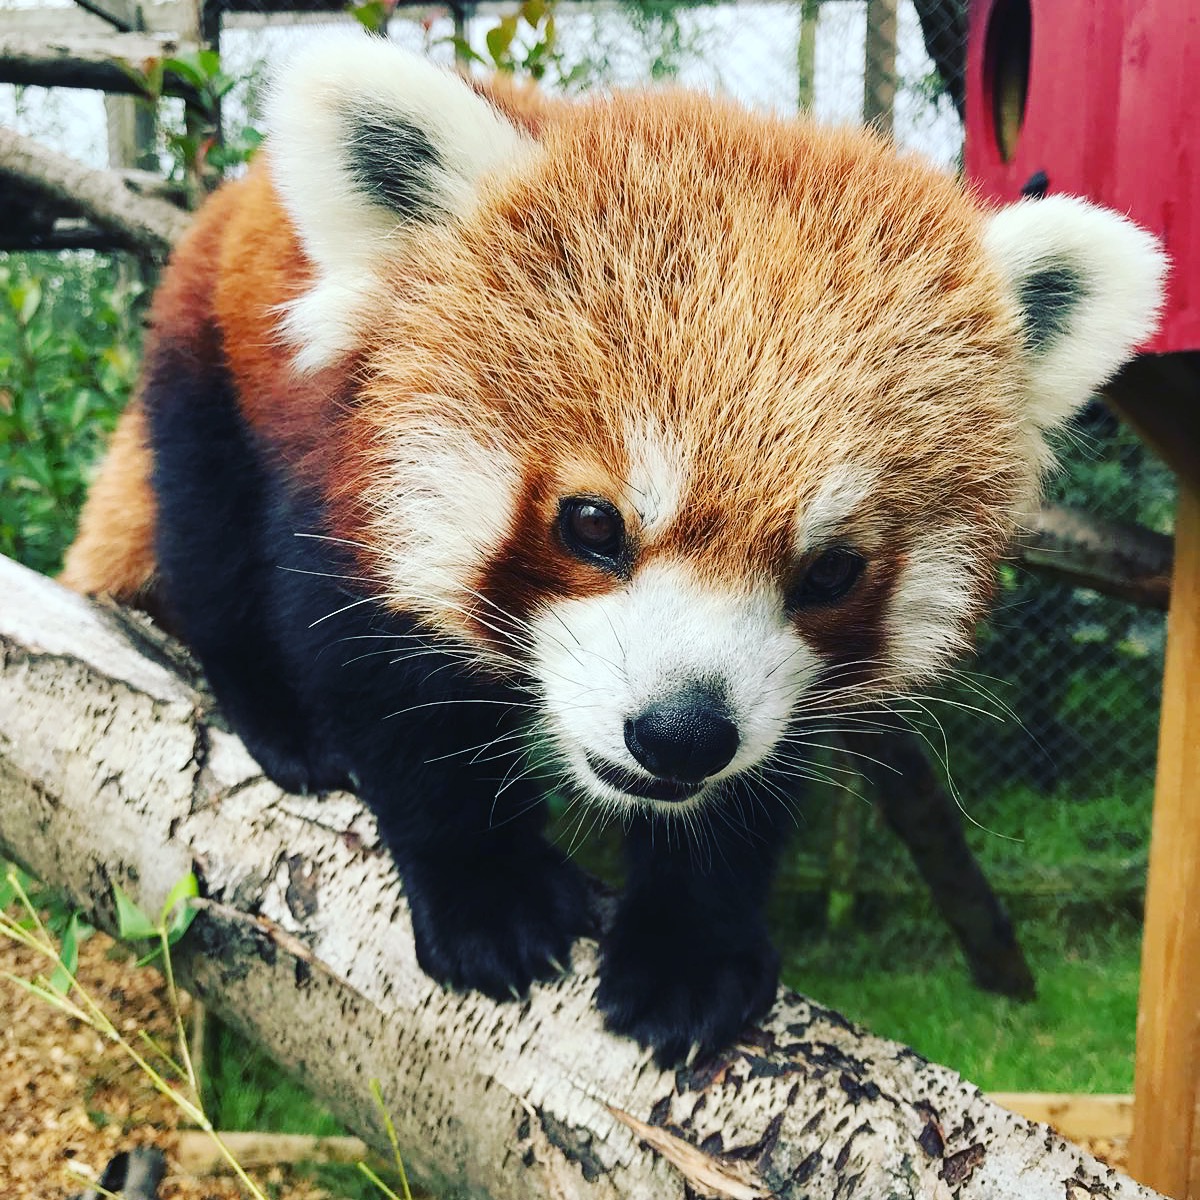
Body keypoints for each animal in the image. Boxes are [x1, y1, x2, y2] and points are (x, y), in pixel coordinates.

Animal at [60, 30, 1166, 1060]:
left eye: (830, 570)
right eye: (593, 524)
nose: (680, 735)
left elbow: (756, 782)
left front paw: (691, 948)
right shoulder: (345, 487)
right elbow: (378, 680)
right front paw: (486, 888)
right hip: (203, 371)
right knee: (210, 544)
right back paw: (279, 719)